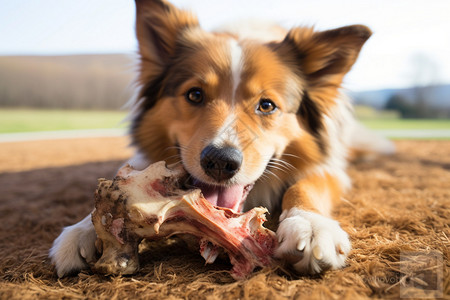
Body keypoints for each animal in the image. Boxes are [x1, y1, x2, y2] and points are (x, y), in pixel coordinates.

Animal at [50, 0, 394, 278]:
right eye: (195, 94)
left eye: (266, 105)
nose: (220, 162)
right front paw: (81, 230)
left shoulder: (328, 165)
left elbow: (306, 185)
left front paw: (309, 226)